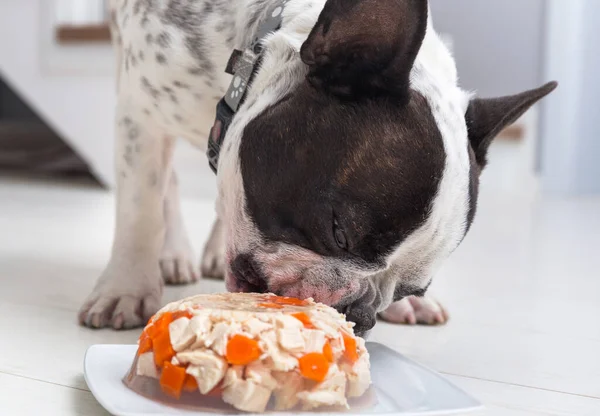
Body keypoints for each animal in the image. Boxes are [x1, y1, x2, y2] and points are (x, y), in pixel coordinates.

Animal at [77, 0, 556, 334]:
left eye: (413, 287)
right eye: (338, 232)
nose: (359, 313)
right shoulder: (140, 112)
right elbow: (140, 208)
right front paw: (126, 288)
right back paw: (173, 254)